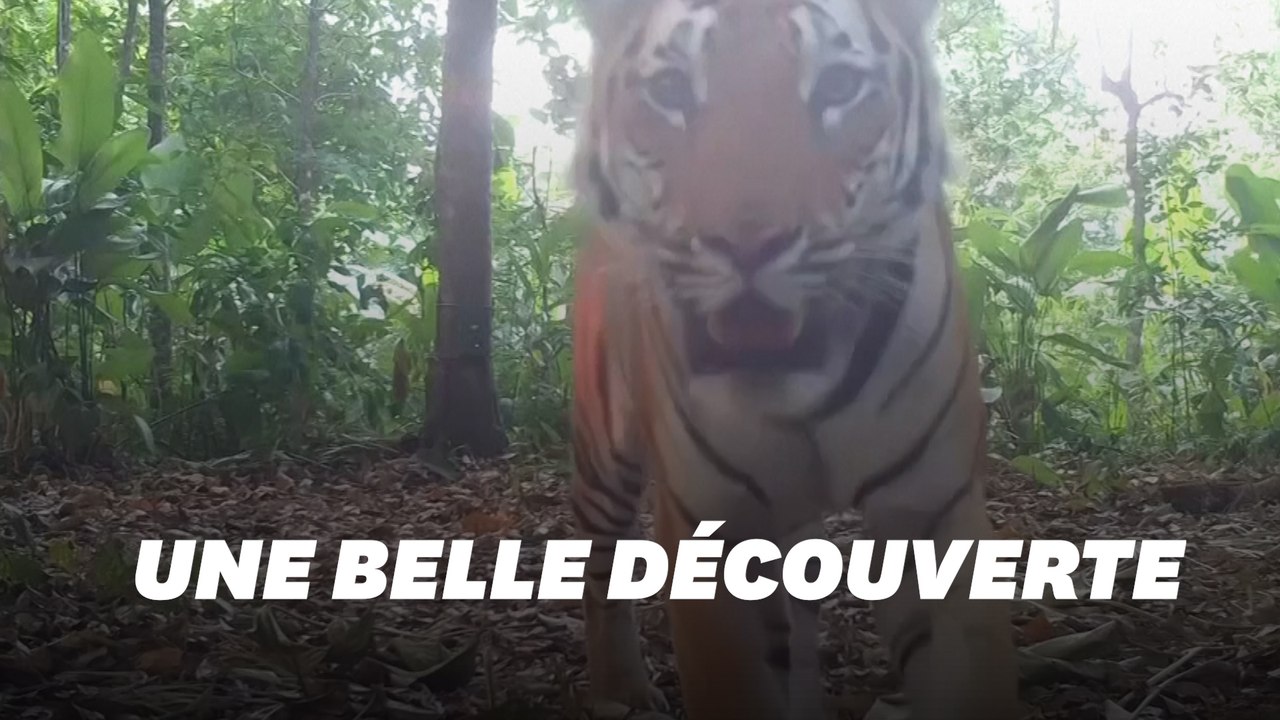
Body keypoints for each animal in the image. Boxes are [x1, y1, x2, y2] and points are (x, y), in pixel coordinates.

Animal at [566, 1, 1019, 719]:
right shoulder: (709, 530)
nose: (747, 241)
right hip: (604, 449)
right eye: (670, 91)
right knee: (598, 562)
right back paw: (621, 691)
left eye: (839, 86)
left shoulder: (933, 513)